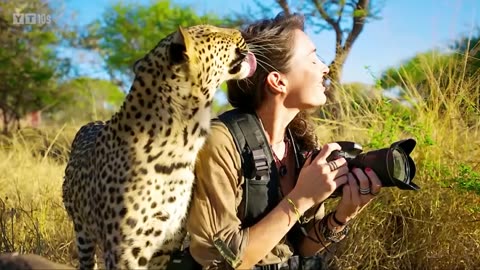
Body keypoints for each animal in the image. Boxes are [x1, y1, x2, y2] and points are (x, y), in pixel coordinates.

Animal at [63, 24, 256, 268]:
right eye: (213, 31)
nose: (241, 32)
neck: (184, 141)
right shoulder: (125, 252)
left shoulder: (166, 245)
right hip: (82, 232)